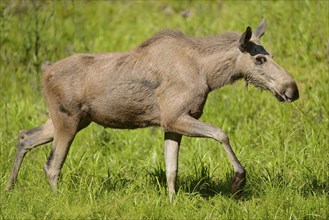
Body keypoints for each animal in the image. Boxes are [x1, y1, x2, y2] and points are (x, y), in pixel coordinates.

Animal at [4, 18, 298, 203]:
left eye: (271, 55)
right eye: (259, 58)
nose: (292, 89)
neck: (209, 75)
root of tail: (44, 75)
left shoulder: (171, 125)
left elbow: (171, 169)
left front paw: (172, 202)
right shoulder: (175, 117)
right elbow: (221, 133)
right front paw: (238, 182)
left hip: (70, 119)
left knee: (25, 136)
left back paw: (9, 187)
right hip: (67, 120)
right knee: (52, 165)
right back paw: (56, 200)